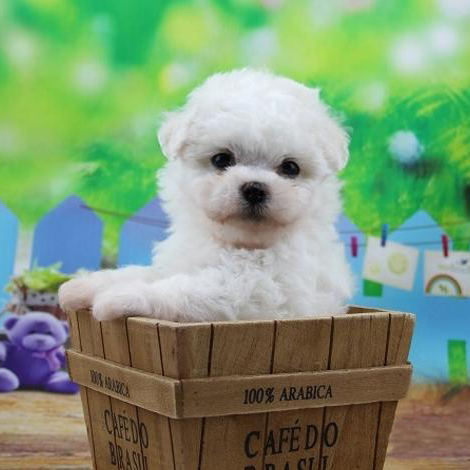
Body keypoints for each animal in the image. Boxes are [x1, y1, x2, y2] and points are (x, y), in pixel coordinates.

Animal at [59, 69, 353, 322]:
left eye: (290, 168)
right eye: (221, 159)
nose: (255, 188)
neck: (237, 243)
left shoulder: (257, 290)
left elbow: (187, 289)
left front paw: (124, 295)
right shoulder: (181, 261)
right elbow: (148, 271)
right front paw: (85, 285)